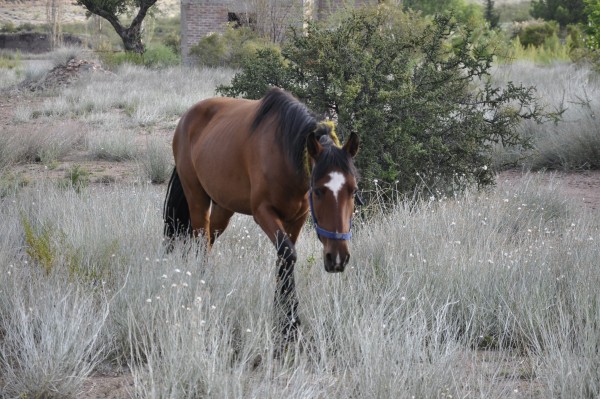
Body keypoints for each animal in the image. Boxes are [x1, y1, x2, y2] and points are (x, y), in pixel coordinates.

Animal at [163, 87, 360, 340]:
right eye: (317, 190)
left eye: (353, 190)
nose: (337, 258)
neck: (284, 155)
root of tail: (186, 118)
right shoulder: (263, 212)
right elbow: (288, 254)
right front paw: (290, 321)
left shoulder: (297, 219)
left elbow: (284, 258)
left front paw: (284, 315)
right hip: (197, 198)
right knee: (200, 240)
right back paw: (201, 284)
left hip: (223, 208)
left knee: (207, 239)